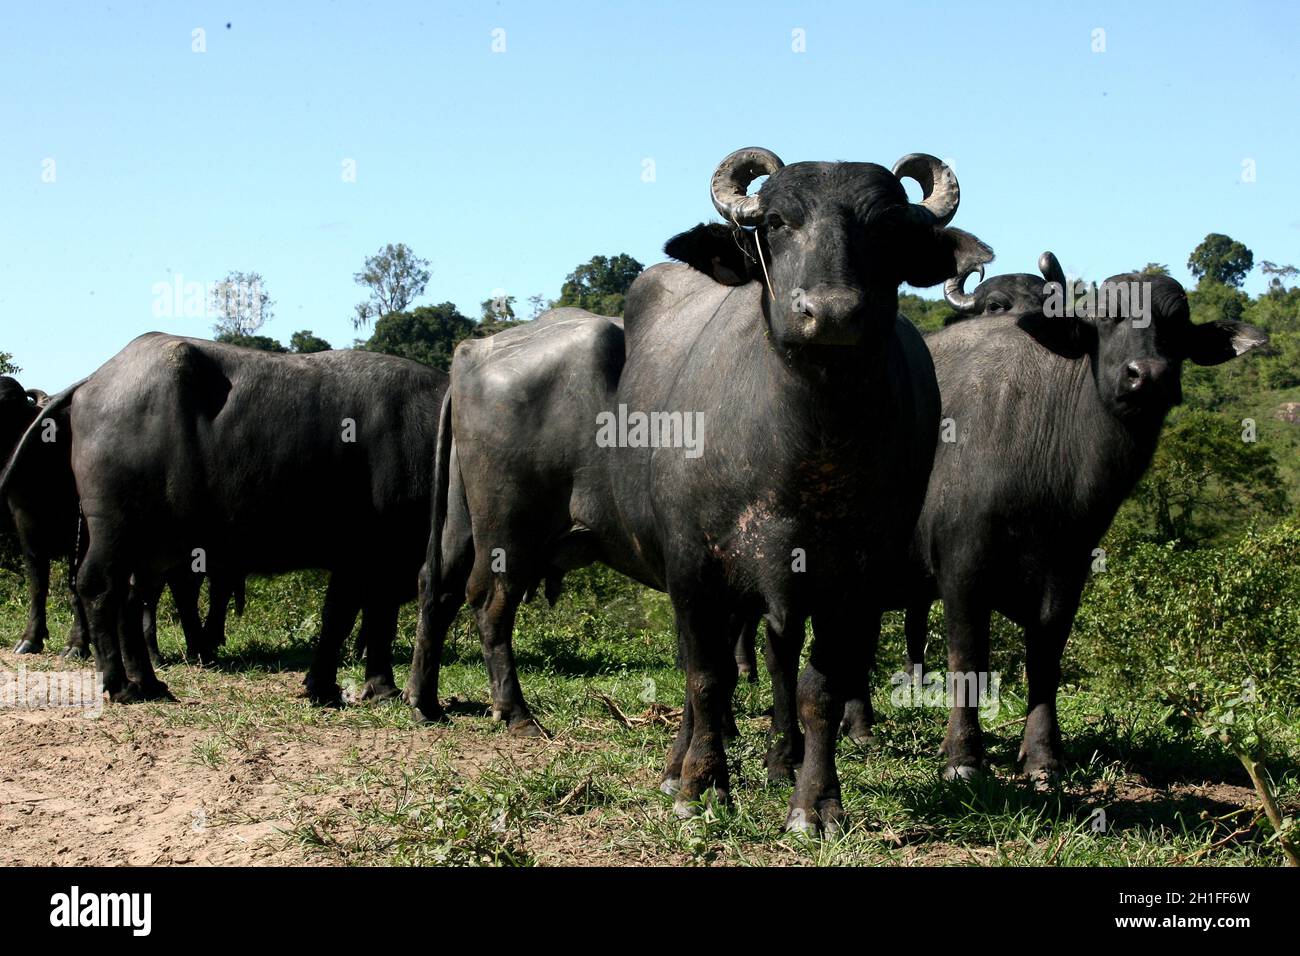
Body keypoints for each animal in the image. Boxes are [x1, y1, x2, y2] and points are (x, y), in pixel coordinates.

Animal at [2, 335, 447, 702]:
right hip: (115, 526)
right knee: (97, 587)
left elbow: (349, 614)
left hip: (154, 542)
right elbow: (366, 616)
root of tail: (93, 381)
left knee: (131, 597)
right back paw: (118, 683)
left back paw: (149, 682)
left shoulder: (362, 558)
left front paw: (333, 685)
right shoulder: (379, 552)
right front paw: (376, 688)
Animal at [410, 145, 987, 832]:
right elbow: (709, 677)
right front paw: (702, 786)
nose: (831, 313)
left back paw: (426, 701)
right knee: (492, 606)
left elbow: (817, 685)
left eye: (886, 228)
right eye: (776, 223)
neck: (807, 441)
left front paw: (813, 802)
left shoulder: (854, 579)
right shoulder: (694, 566)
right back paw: (517, 714)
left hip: (462, 522)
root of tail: (474, 350)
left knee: (440, 587)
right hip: (509, 530)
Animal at [743, 252, 1268, 785]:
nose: (1149, 375)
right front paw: (963, 757)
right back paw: (784, 752)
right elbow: (969, 658)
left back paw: (860, 728)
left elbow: (1046, 659)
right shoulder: (961, 569)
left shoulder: (1067, 572)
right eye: (1107, 318)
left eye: (1176, 325)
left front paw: (1043, 756)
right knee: (782, 648)